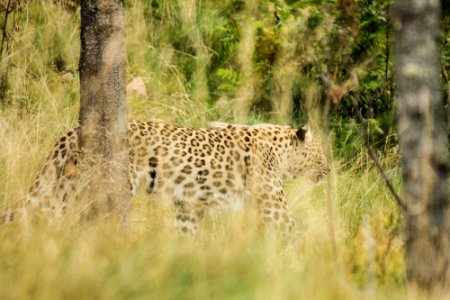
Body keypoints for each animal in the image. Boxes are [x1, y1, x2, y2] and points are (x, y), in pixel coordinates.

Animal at [0, 120, 330, 234]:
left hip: (64, 185)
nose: (329, 171)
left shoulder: (190, 205)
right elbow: (293, 232)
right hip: (90, 187)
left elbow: (185, 231)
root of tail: (72, 131)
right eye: (321, 153)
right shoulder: (274, 208)